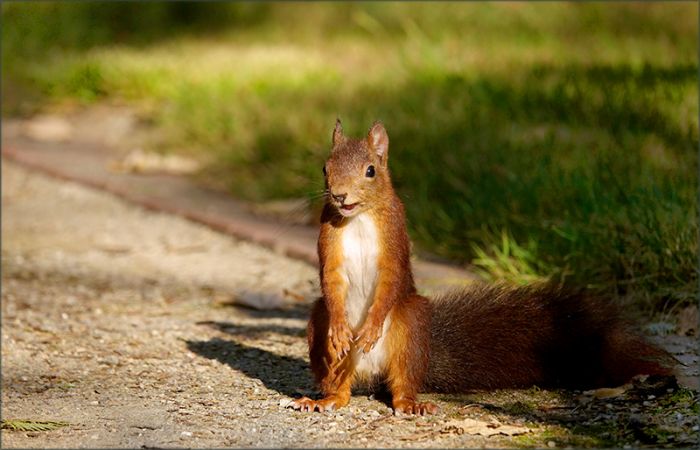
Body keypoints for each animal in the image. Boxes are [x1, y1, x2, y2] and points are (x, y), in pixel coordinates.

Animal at [289, 120, 676, 415]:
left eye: (370, 171)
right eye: (325, 168)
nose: (339, 195)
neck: (358, 218)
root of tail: (369, 371)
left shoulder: (395, 239)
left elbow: (391, 279)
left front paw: (368, 329)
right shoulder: (330, 243)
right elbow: (331, 279)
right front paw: (342, 328)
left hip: (410, 325)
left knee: (402, 383)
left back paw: (410, 402)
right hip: (320, 329)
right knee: (340, 383)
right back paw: (324, 399)